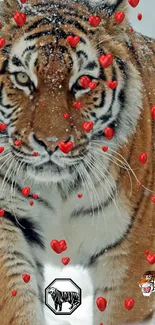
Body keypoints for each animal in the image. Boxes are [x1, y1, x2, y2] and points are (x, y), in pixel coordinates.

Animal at [0, 0, 155, 324]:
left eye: (82, 82)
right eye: (23, 79)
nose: (51, 143)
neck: (60, 189)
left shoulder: (133, 253)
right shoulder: (6, 219)